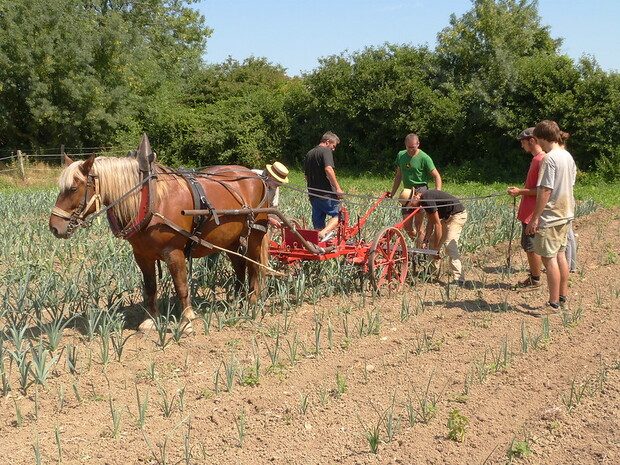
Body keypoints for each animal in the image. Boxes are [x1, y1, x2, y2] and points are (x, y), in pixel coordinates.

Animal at [49, 147, 268, 332]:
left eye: (73, 188)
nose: (54, 227)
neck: (153, 202)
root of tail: (254, 176)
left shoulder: (174, 252)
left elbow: (181, 285)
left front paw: (186, 321)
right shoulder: (142, 255)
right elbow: (150, 287)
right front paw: (150, 320)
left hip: (255, 235)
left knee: (254, 266)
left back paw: (252, 303)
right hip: (231, 239)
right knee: (239, 266)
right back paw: (236, 302)